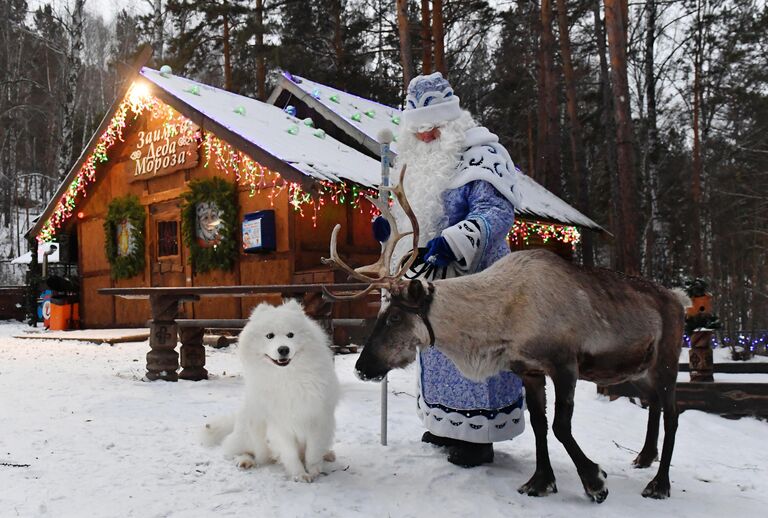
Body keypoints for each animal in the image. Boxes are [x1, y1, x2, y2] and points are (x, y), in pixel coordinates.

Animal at [201, 300, 340, 484]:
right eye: (269, 336)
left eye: (290, 335)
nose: (283, 349)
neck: (288, 378)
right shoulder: (279, 424)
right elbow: (290, 454)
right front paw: (300, 474)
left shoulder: (318, 418)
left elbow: (313, 451)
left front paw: (314, 470)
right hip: (250, 433)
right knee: (237, 451)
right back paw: (245, 461)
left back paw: (328, 454)